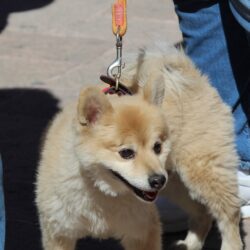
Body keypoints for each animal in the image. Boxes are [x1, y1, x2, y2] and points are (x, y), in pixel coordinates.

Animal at [35, 81, 170, 249]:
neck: (103, 191)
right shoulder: (59, 232)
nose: (159, 180)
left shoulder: (142, 230)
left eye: (157, 147)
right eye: (126, 153)